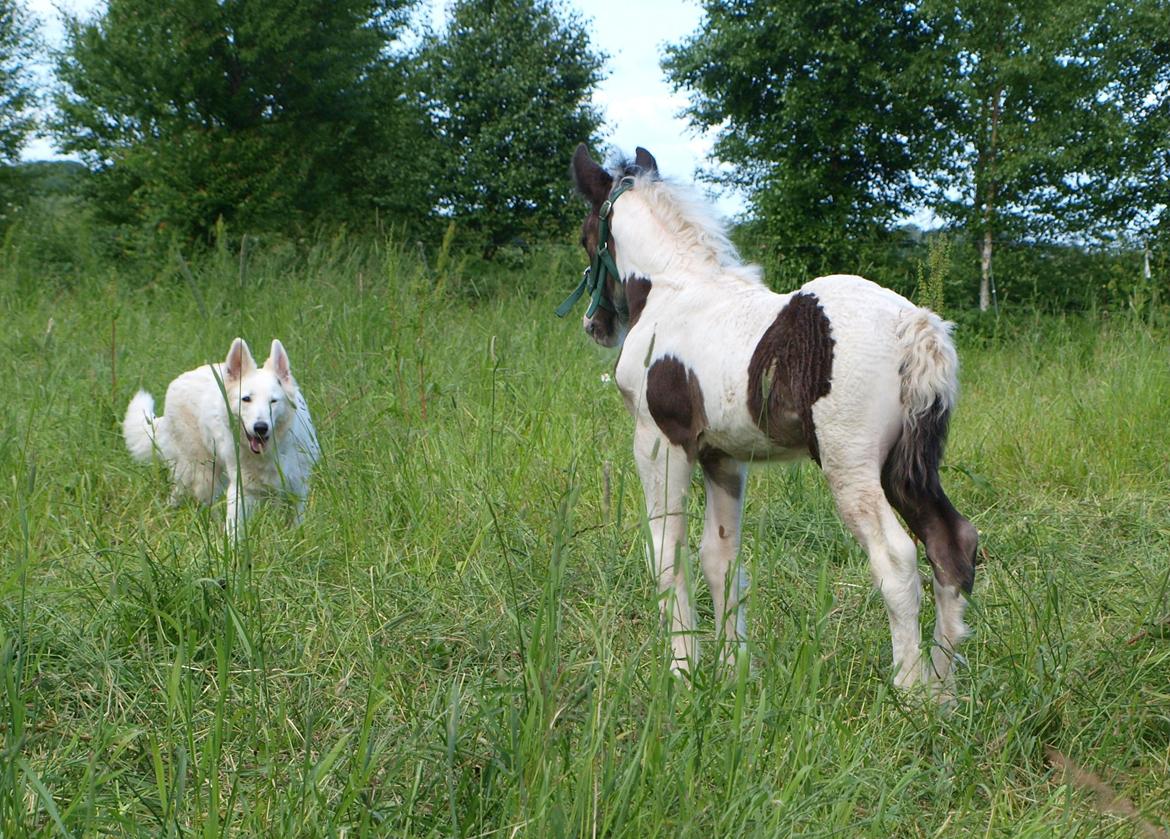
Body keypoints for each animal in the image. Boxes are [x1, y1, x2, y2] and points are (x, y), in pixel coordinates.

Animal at [122, 334, 320, 535]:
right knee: (202, 501)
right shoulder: (241, 490)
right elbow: (234, 528)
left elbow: (297, 522)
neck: (272, 452)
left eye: (273, 401)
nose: (260, 427)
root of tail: (181, 378)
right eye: (246, 399)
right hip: (202, 473)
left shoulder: (297, 488)